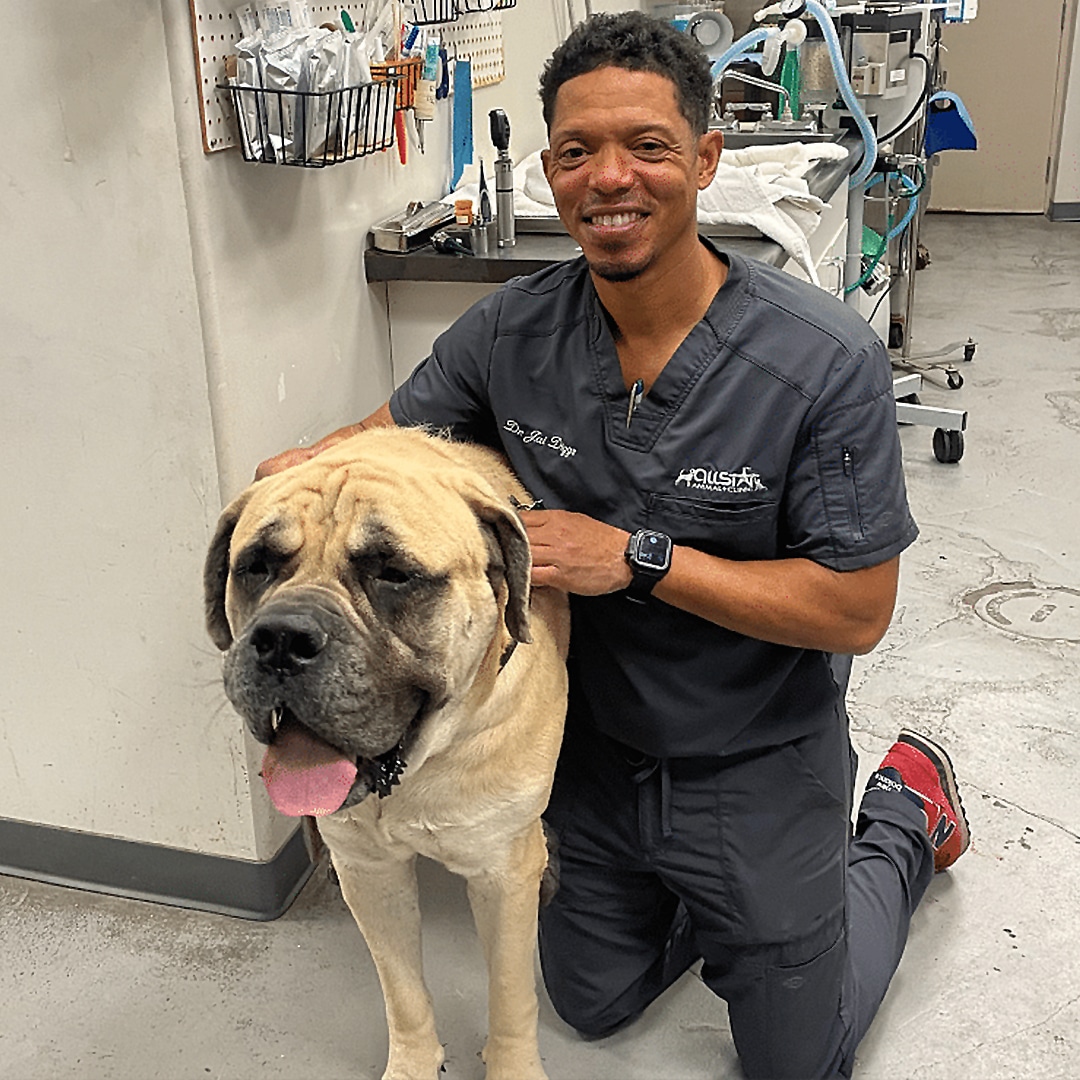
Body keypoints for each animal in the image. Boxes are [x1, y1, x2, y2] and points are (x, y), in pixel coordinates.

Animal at [204, 425, 574, 1080]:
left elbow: (511, 995)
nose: (281, 639)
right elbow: (402, 990)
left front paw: (511, 1065)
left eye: (394, 574)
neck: (421, 768)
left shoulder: (502, 876)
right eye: (256, 566)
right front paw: (414, 1063)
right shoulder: (371, 872)